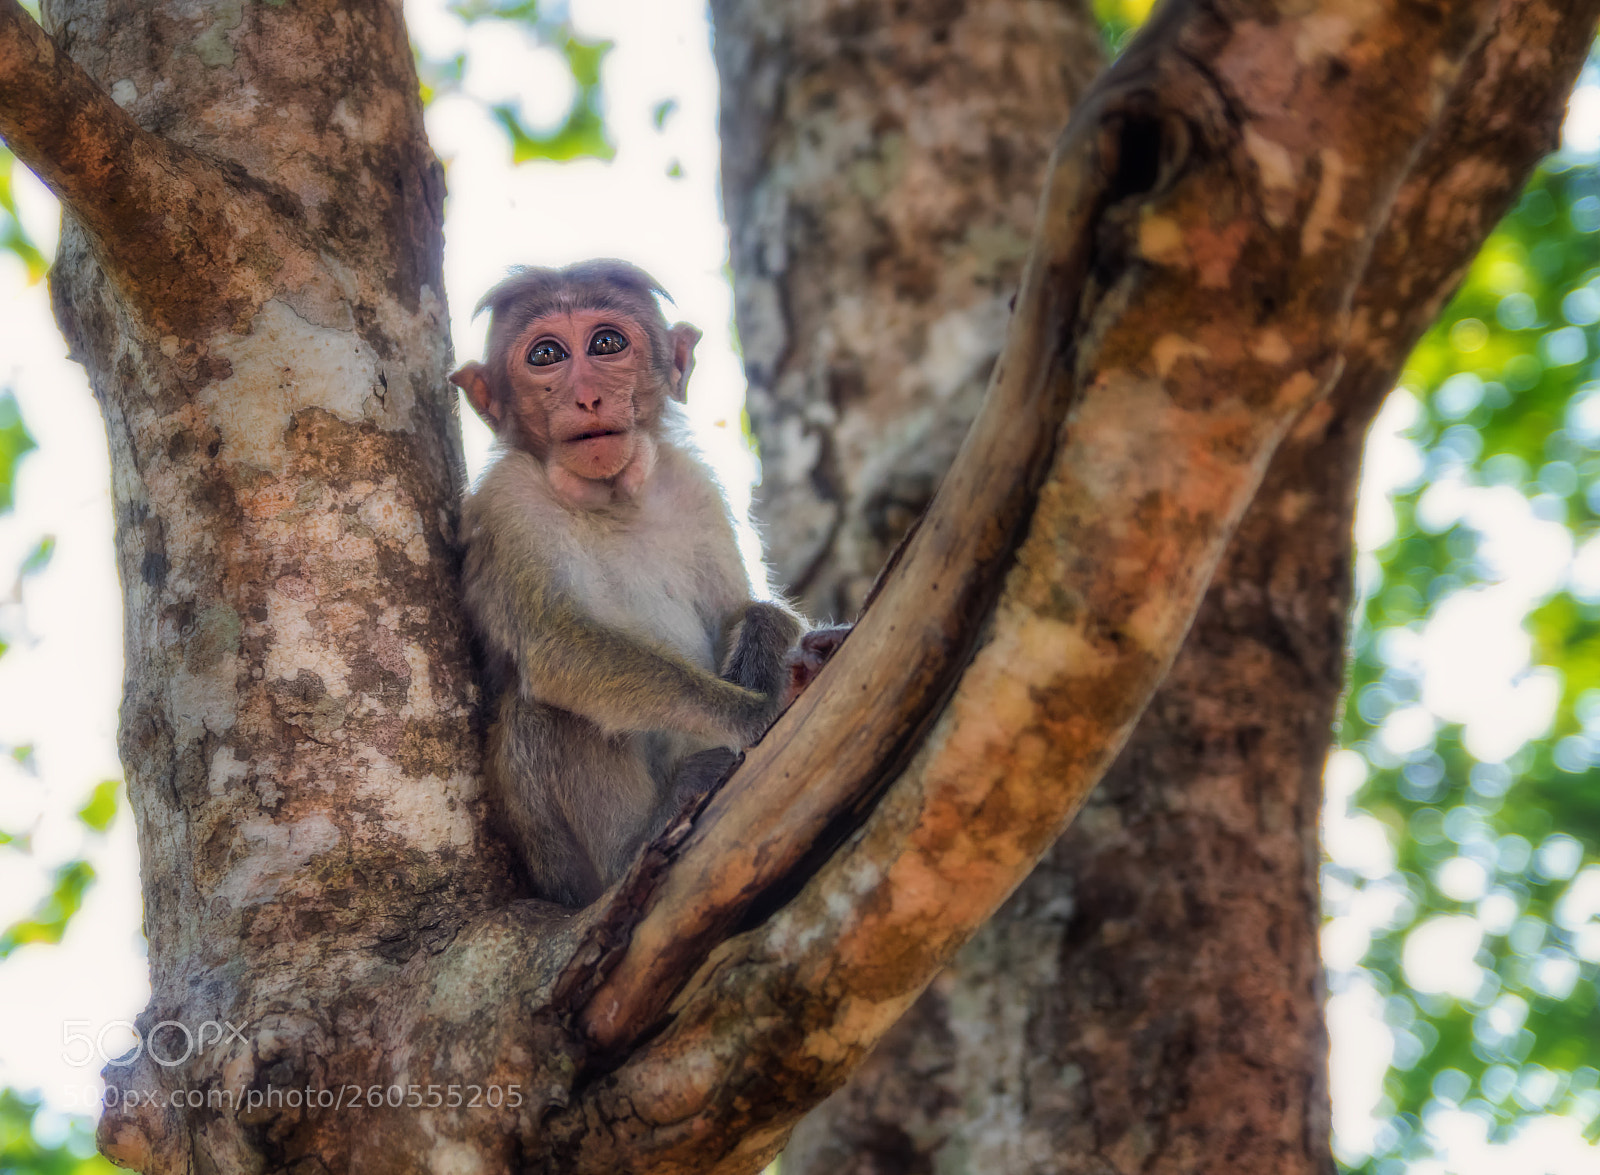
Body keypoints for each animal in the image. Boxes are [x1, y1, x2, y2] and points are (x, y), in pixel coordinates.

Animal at [451, 260, 846, 908]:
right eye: (546, 355)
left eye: (606, 344)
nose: (587, 395)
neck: (610, 500)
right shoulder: (507, 502)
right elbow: (557, 647)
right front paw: (756, 711)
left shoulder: (692, 486)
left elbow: (736, 611)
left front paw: (792, 644)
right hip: (558, 868)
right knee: (546, 710)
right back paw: (639, 842)